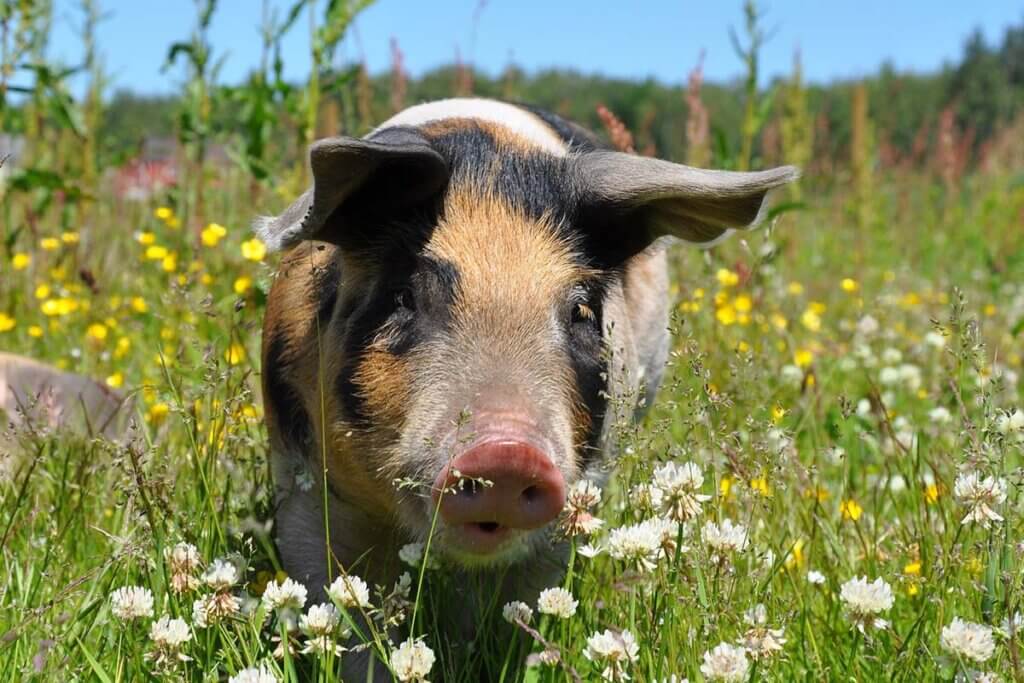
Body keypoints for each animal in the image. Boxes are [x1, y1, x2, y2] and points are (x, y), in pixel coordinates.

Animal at [253, 96, 790, 663]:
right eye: (404, 296)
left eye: (580, 311)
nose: (508, 452)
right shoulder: (302, 482)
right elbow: (346, 614)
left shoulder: (574, 497)